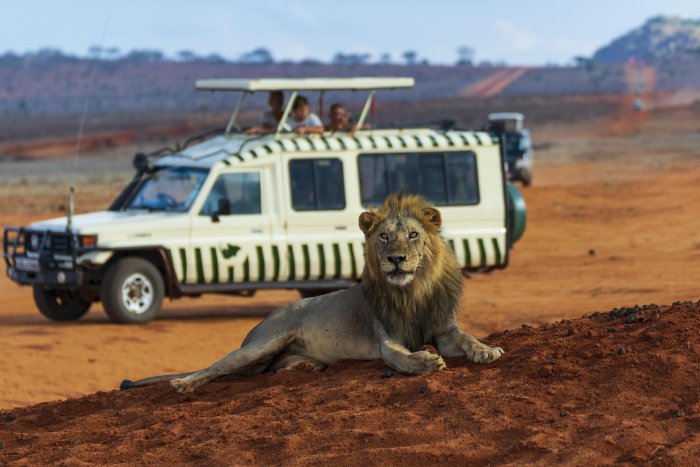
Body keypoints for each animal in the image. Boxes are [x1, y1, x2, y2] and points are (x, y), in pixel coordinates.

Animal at [120, 192, 504, 394]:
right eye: (383, 236)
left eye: (412, 235)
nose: (395, 259)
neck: (412, 291)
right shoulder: (386, 340)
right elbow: (400, 358)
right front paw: (425, 361)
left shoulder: (444, 328)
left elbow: (467, 338)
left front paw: (487, 351)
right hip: (262, 344)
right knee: (217, 367)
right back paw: (183, 383)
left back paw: (302, 367)